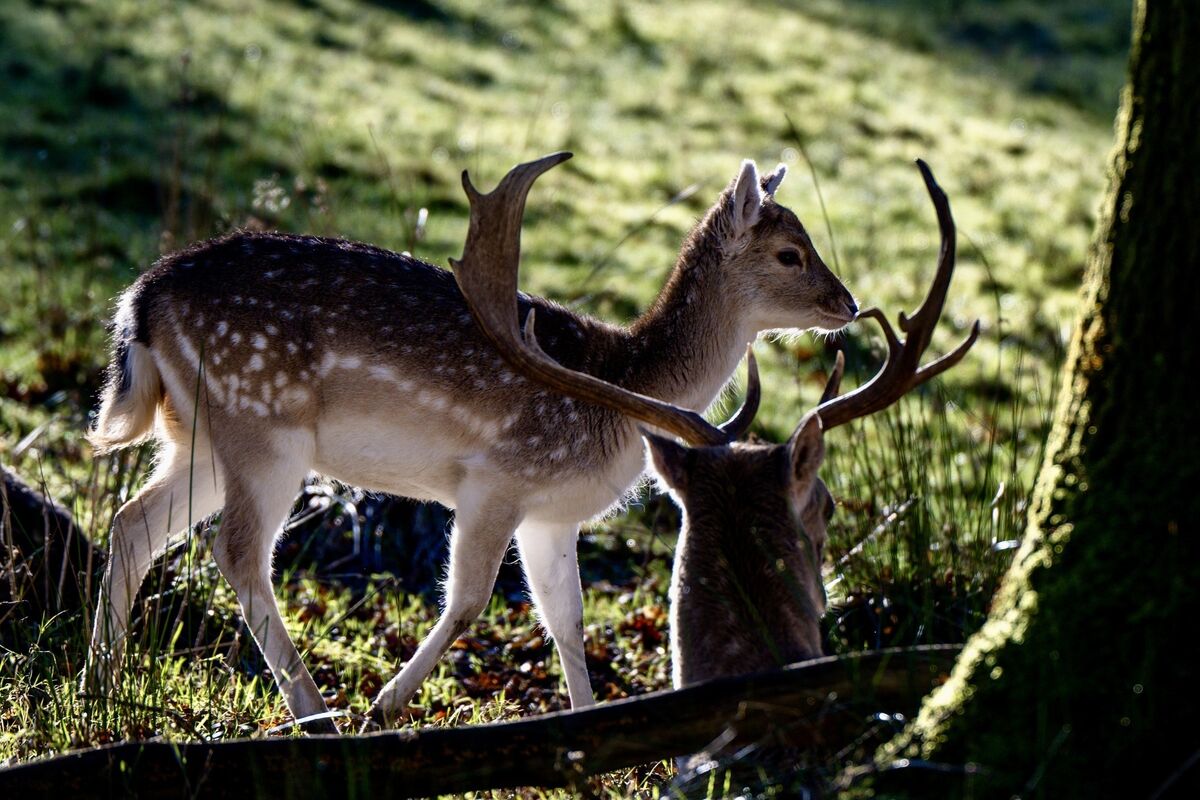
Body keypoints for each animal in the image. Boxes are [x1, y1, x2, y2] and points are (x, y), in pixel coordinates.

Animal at [83, 151, 859, 733]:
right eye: (790, 253)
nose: (848, 304)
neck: (622, 389)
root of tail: (139, 299)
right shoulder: (497, 479)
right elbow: (467, 600)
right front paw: (384, 707)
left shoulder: (552, 516)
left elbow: (567, 622)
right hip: (264, 426)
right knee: (237, 552)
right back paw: (316, 713)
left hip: (200, 441)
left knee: (131, 524)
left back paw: (99, 686)